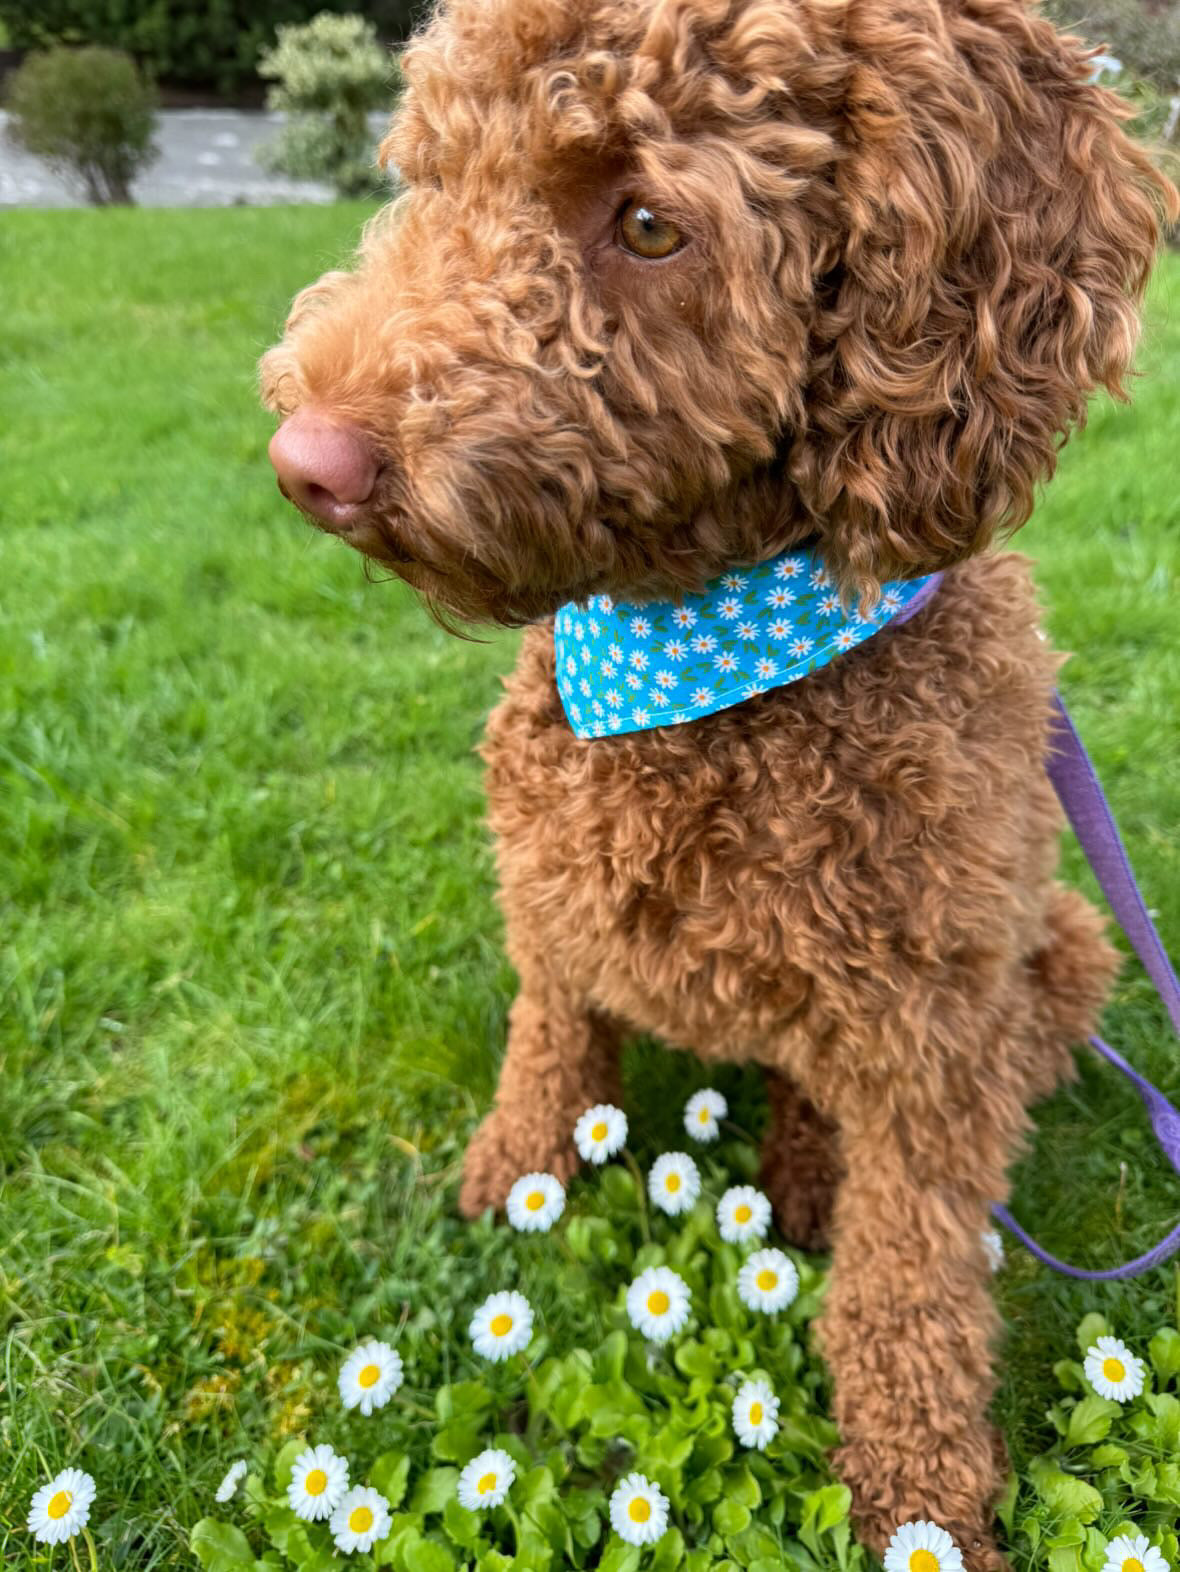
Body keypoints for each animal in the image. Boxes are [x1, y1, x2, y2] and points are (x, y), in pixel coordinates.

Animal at [262, 3, 1175, 1559]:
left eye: (648, 225)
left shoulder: (932, 1037)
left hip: (1055, 950)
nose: (308, 463)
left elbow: (907, 1288)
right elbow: (549, 1042)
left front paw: (921, 1498)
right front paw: (519, 1173)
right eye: (436, 174)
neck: (690, 658)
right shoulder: (548, 897)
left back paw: (808, 1178)